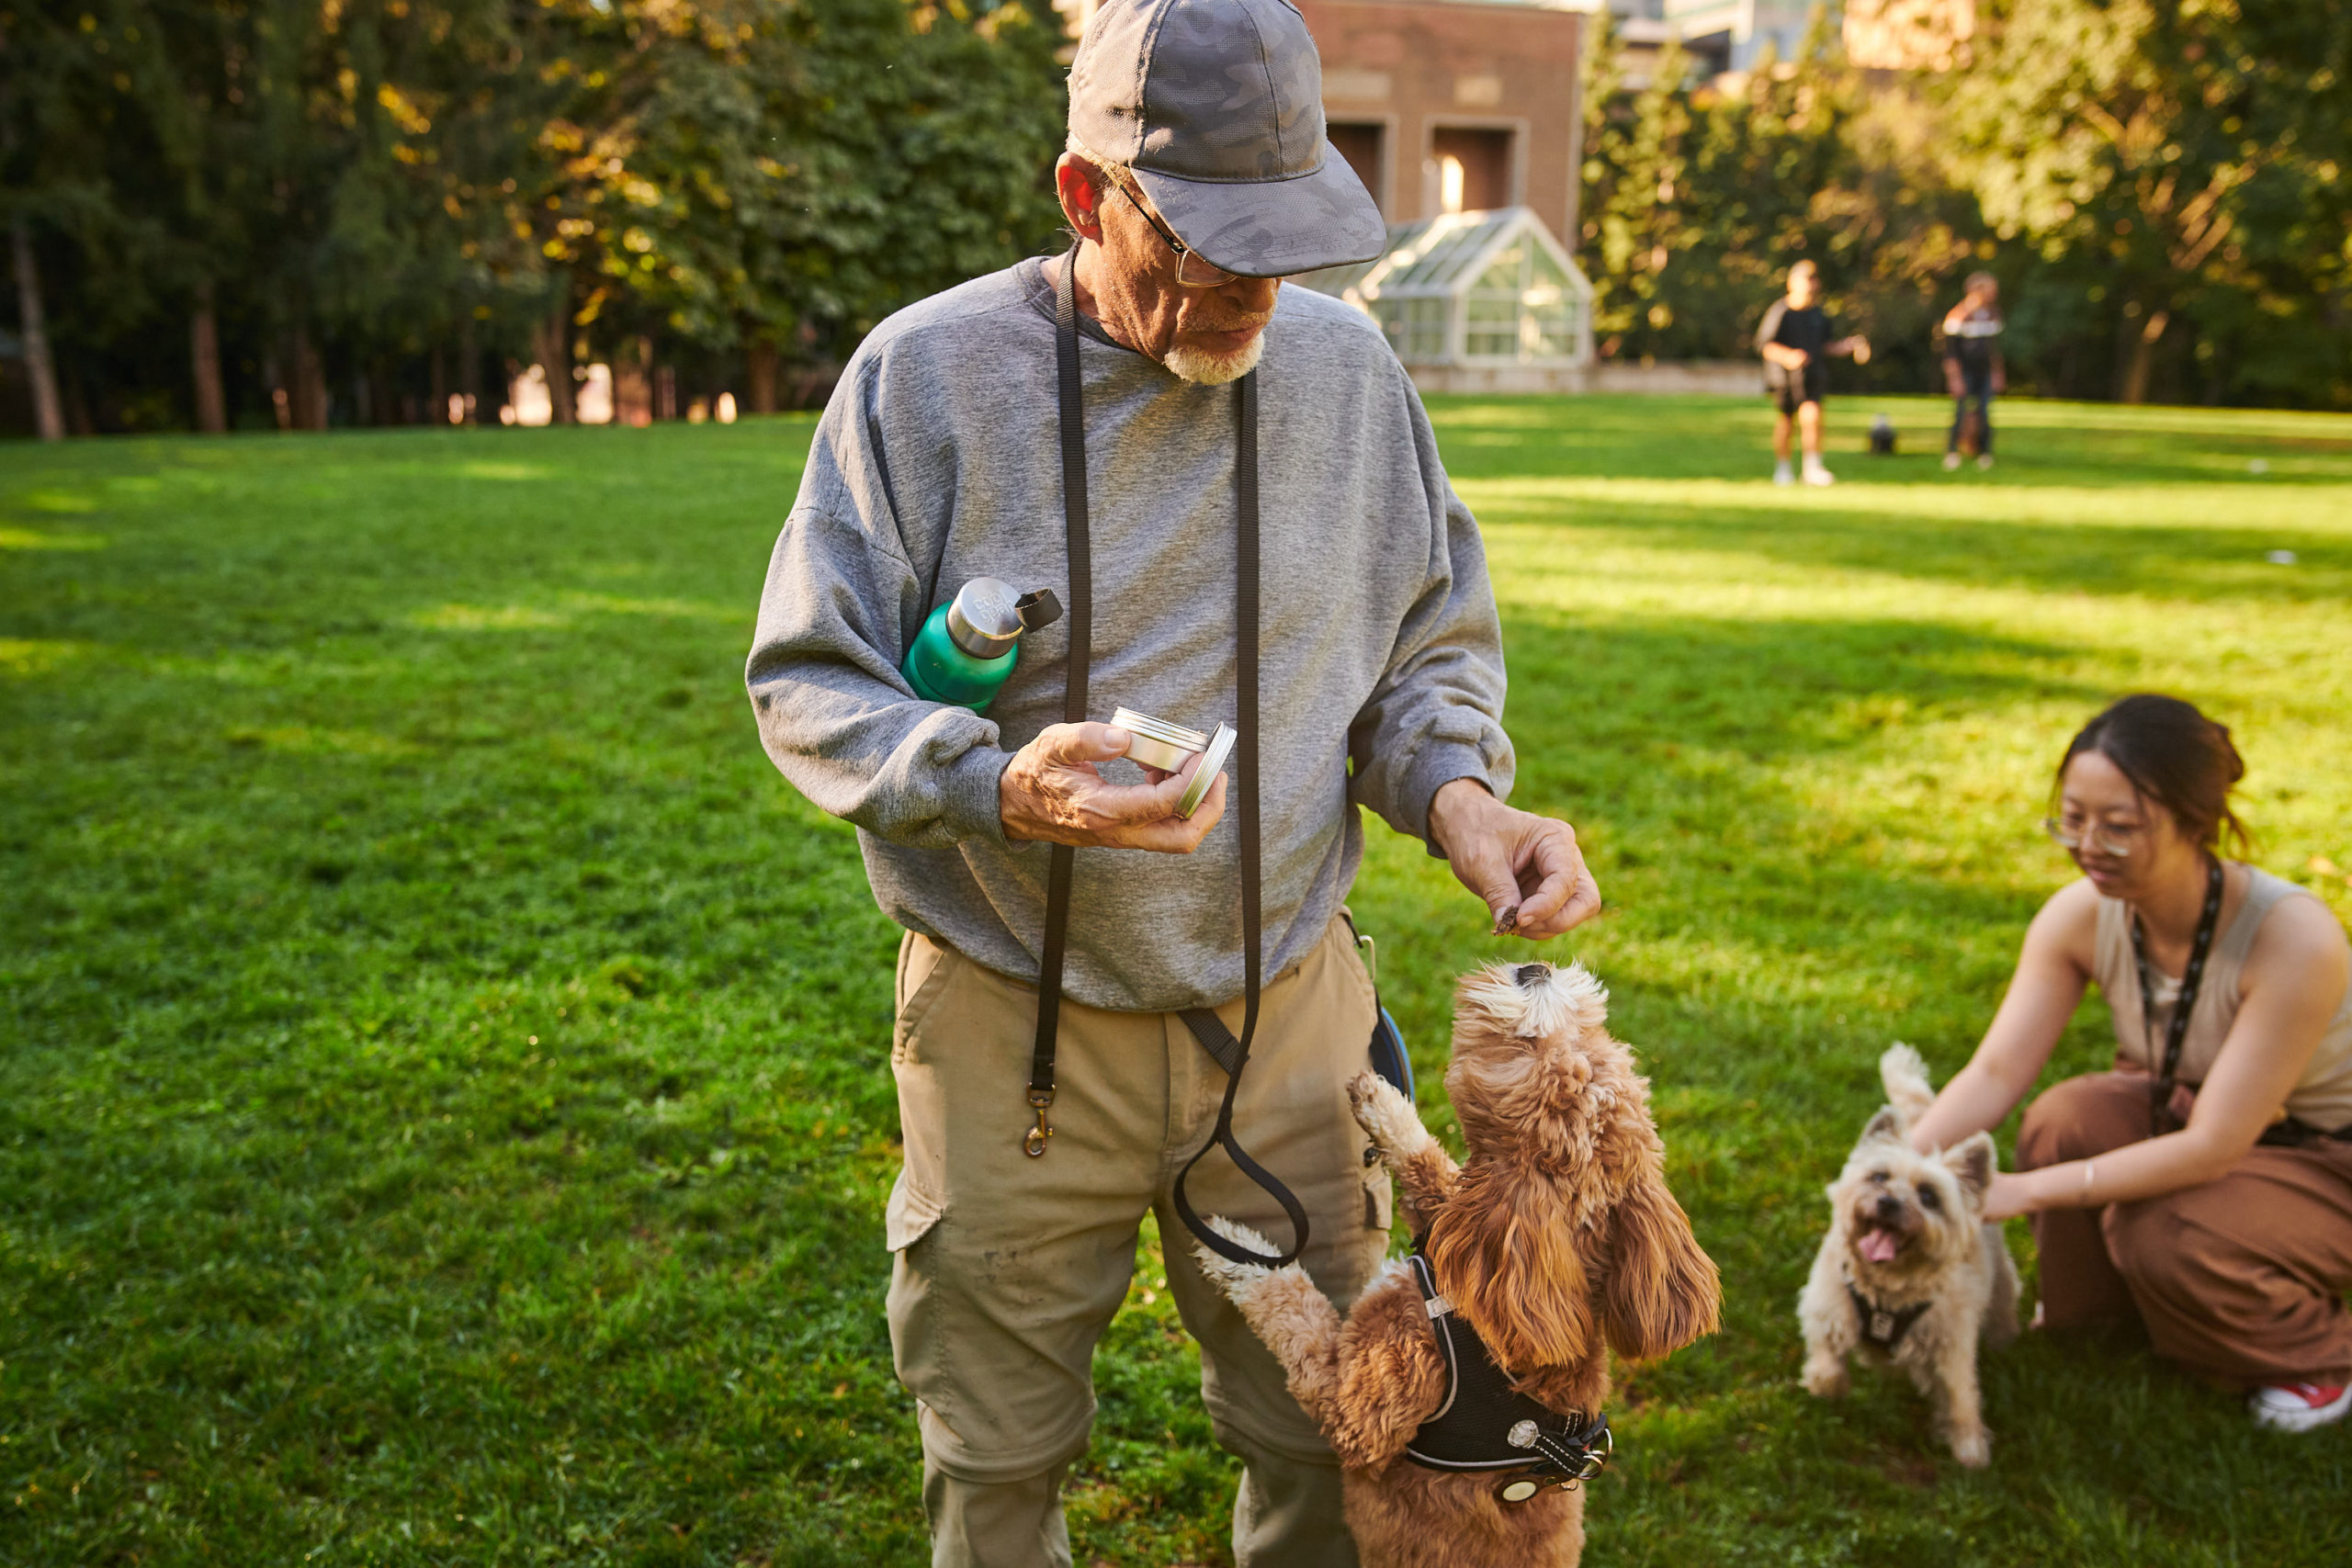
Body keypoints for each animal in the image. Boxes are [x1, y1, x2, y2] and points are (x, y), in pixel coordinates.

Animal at [1194, 959, 1712, 1568]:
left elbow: (1295, 1312)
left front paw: (1235, 1248)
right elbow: (1430, 1167)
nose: (1536, 968)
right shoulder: (1451, 1221)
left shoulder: (1362, 1411)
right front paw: (1383, 1104)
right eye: (1589, 1039)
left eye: (1531, 1044)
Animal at [1796, 1048, 2022, 1466]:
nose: (1888, 1203)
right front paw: (1825, 1385)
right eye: (1879, 1177)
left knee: (2003, 1305)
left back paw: (2005, 1339)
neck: (1887, 1290)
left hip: (2000, 1278)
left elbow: (1961, 1397)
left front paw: (1969, 1447)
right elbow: (1828, 1359)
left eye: (1929, 1196)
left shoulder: (1952, 1346)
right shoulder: (1827, 1306)